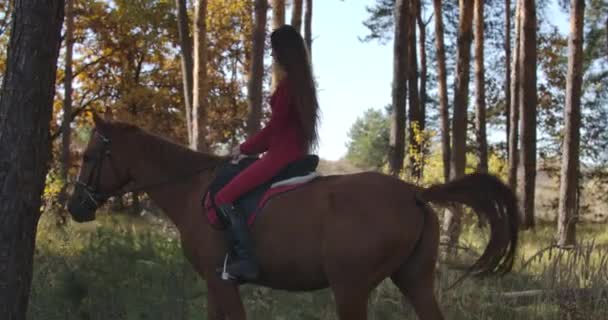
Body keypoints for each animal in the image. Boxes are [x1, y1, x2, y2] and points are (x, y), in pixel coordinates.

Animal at [69, 115, 520, 320]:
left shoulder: (222, 280)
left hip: (350, 286)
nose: (75, 207)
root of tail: (414, 193)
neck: (192, 189)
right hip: (413, 279)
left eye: (89, 157)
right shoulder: (216, 283)